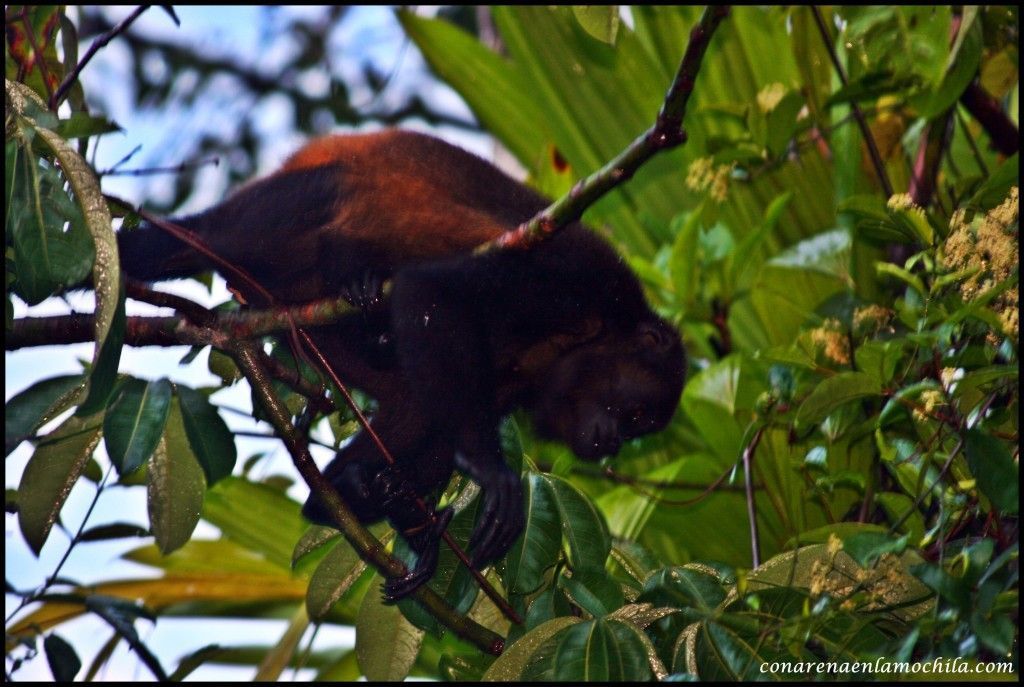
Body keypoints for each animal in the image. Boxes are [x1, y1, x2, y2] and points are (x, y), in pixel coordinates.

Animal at [116, 127, 684, 597]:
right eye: (636, 415)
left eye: (639, 430)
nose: (613, 443)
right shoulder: (572, 278)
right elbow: (433, 291)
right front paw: (492, 474)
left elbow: (423, 414)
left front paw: (387, 502)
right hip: (282, 209)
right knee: (207, 239)